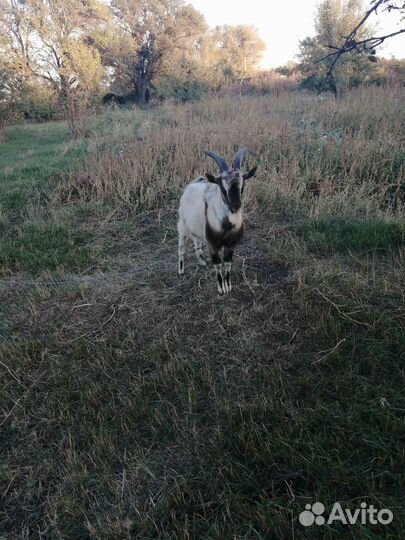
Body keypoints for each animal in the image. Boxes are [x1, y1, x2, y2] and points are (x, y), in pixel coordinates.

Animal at [178, 149, 258, 296]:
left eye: (242, 186)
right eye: (222, 187)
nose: (236, 206)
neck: (226, 226)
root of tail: (193, 184)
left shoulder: (230, 244)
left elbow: (227, 264)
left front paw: (228, 286)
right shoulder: (213, 244)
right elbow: (218, 264)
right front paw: (221, 289)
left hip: (196, 228)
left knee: (196, 241)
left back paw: (201, 261)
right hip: (182, 226)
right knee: (181, 246)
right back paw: (181, 271)